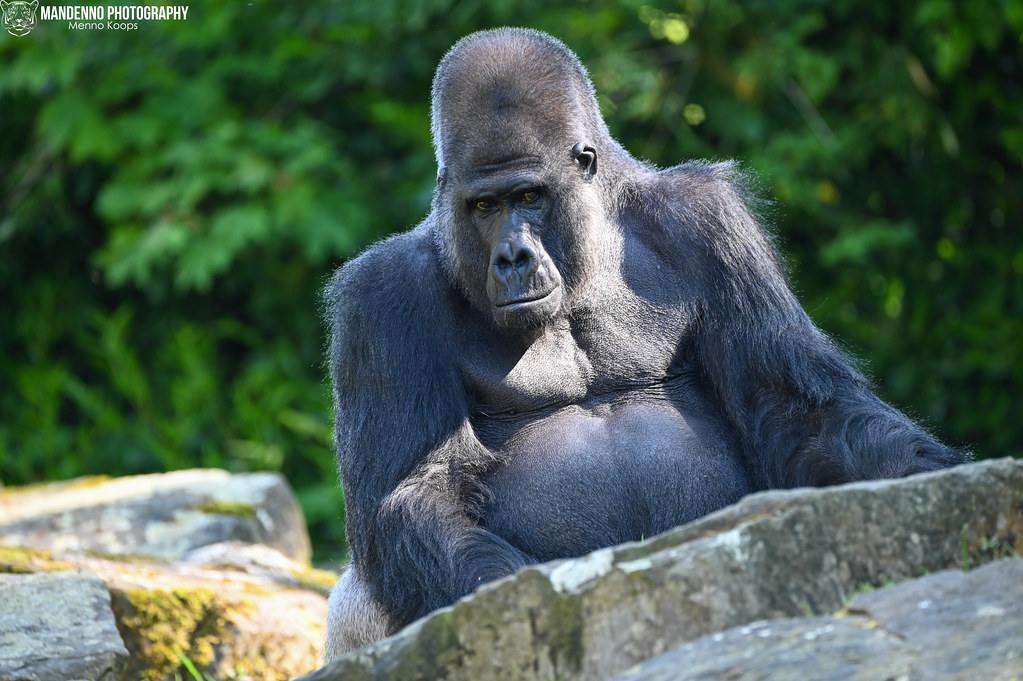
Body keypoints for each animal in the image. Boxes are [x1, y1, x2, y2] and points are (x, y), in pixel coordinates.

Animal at [321, 27, 965, 658]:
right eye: (483, 206)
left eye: (528, 196)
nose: (511, 258)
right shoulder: (381, 302)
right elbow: (419, 493)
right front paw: (506, 605)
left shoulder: (709, 220)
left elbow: (800, 410)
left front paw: (924, 479)